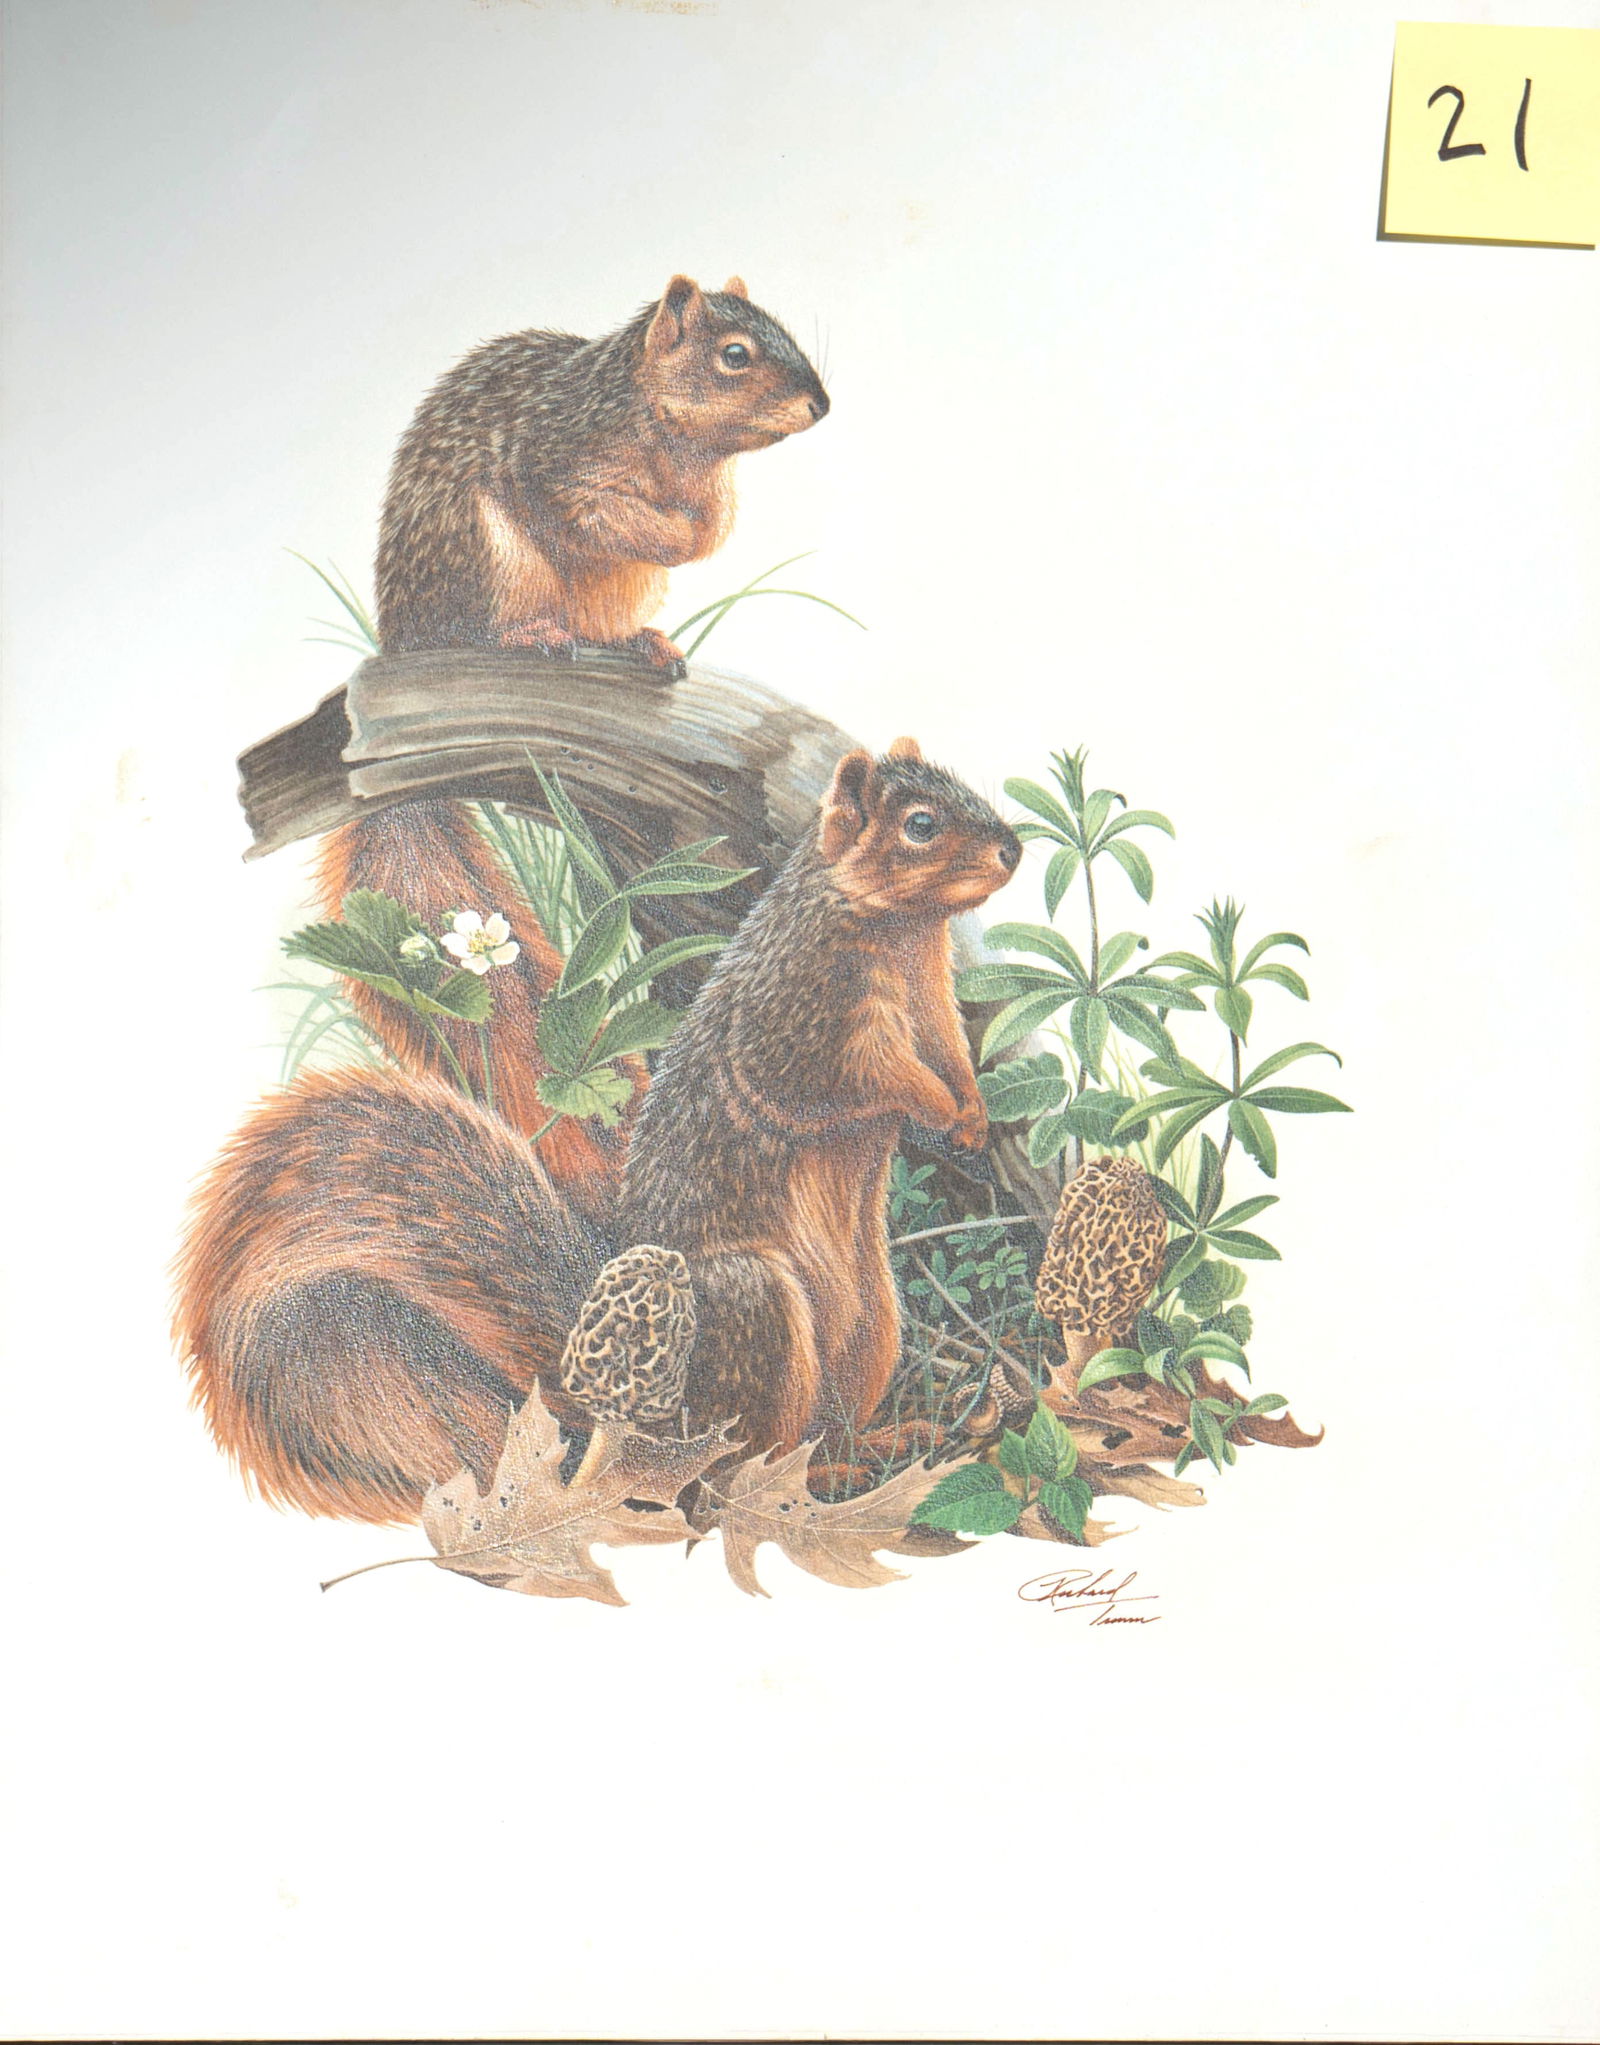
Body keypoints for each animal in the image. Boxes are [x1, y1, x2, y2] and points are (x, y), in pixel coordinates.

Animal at [175, 741, 1021, 1524]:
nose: (1012, 849)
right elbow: (847, 1077)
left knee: (826, 1422)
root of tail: (640, 1411)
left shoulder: (932, 1002)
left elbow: (953, 1053)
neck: (901, 930)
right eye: (921, 824)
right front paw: (935, 1106)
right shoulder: (798, 1014)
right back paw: (807, 1482)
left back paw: (882, 1443)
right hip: (757, 1310)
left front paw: (973, 1113)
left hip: (875, 1325)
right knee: (723, 1471)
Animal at [326, 274, 830, 1135]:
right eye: (734, 355)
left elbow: (714, 525)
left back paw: (645, 643)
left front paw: (700, 529)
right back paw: (532, 636)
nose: (822, 404)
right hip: (489, 556)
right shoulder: (559, 458)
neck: (673, 441)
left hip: (615, 591)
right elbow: (596, 508)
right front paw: (672, 531)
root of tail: (401, 636)